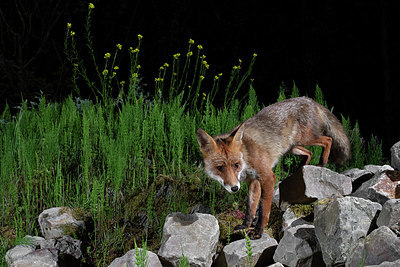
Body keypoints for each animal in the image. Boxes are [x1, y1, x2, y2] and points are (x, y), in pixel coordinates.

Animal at [197, 97, 350, 240]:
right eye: (220, 168)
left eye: (236, 165)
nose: (234, 188)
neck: (246, 156)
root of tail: (309, 99)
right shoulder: (254, 181)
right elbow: (250, 208)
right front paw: (245, 226)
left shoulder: (267, 177)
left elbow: (264, 209)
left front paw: (258, 231)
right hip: (293, 147)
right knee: (309, 153)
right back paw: (300, 170)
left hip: (304, 139)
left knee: (327, 140)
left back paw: (322, 164)